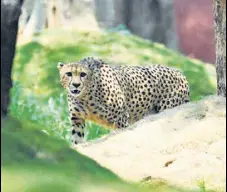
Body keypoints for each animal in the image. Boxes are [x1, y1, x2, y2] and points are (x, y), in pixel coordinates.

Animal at [57, 57, 190, 144]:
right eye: (69, 74)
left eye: (83, 74)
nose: (76, 85)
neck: (85, 96)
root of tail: (180, 73)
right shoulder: (77, 118)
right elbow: (77, 140)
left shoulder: (121, 119)